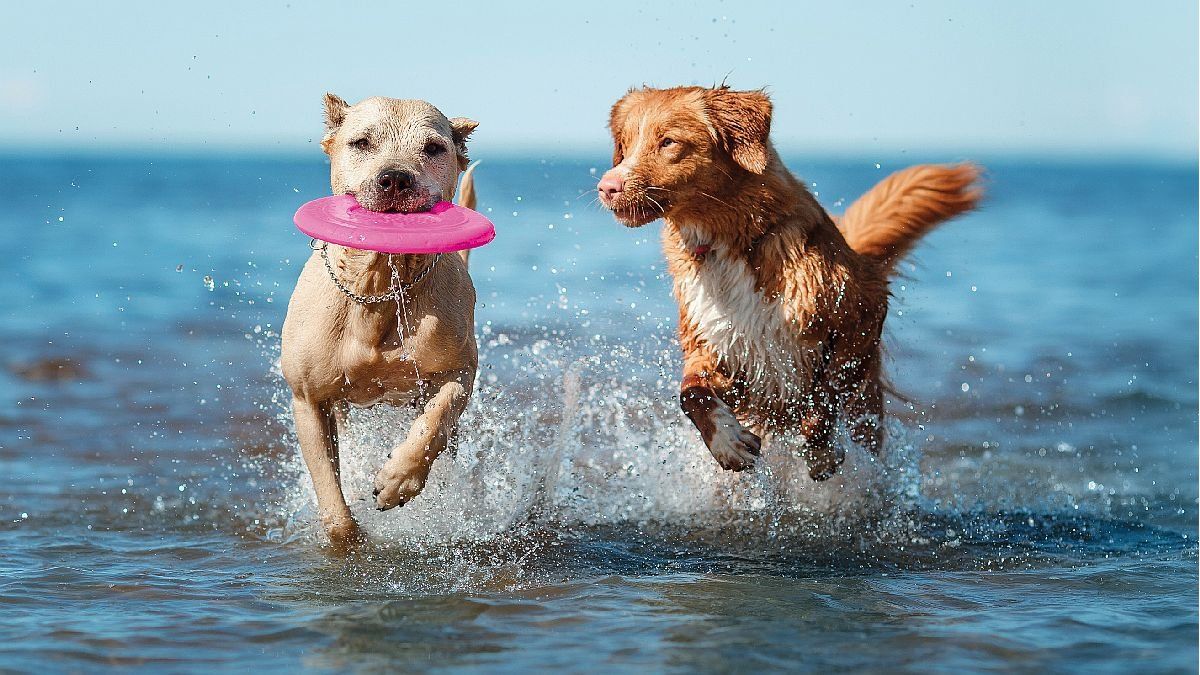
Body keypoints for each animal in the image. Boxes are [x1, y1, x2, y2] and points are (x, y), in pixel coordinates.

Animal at [282, 94, 482, 547]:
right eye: (361, 142)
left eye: (433, 148)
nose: (395, 178)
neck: (378, 288)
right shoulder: (307, 399)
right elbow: (331, 496)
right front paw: (348, 537)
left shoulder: (459, 371)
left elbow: (435, 420)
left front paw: (399, 479)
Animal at [600, 85, 984, 478]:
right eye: (625, 144)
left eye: (668, 142)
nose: (606, 187)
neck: (730, 244)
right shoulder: (710, 343)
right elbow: (691, 393)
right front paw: (728, 443)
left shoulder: (863, 310)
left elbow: (825, 395)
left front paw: (822, 453)